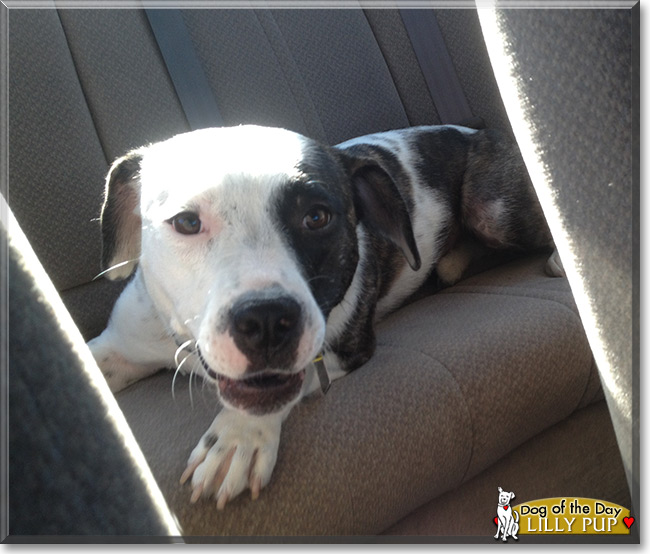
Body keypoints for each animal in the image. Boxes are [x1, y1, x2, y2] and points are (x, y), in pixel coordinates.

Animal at [88, 123, 560, 506]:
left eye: (317, 217)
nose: (267, 319)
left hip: (493, 210)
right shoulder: (116, 346)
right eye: (186, 222)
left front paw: (239, 437)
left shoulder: (344, 350)